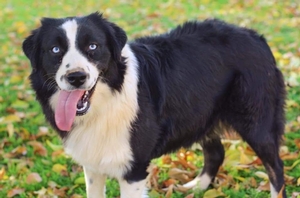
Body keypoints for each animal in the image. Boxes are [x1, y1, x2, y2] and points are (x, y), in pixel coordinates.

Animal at [22, 12, 286, 198]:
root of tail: (255, 36)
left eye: (93, 47)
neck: (107, 101)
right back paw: (196, 188)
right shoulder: (93, 163)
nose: (76, 77)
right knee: (216, 153)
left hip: (257, 123)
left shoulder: (134, 169)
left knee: (276, 168)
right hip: (200, 114)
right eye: (55, 49)